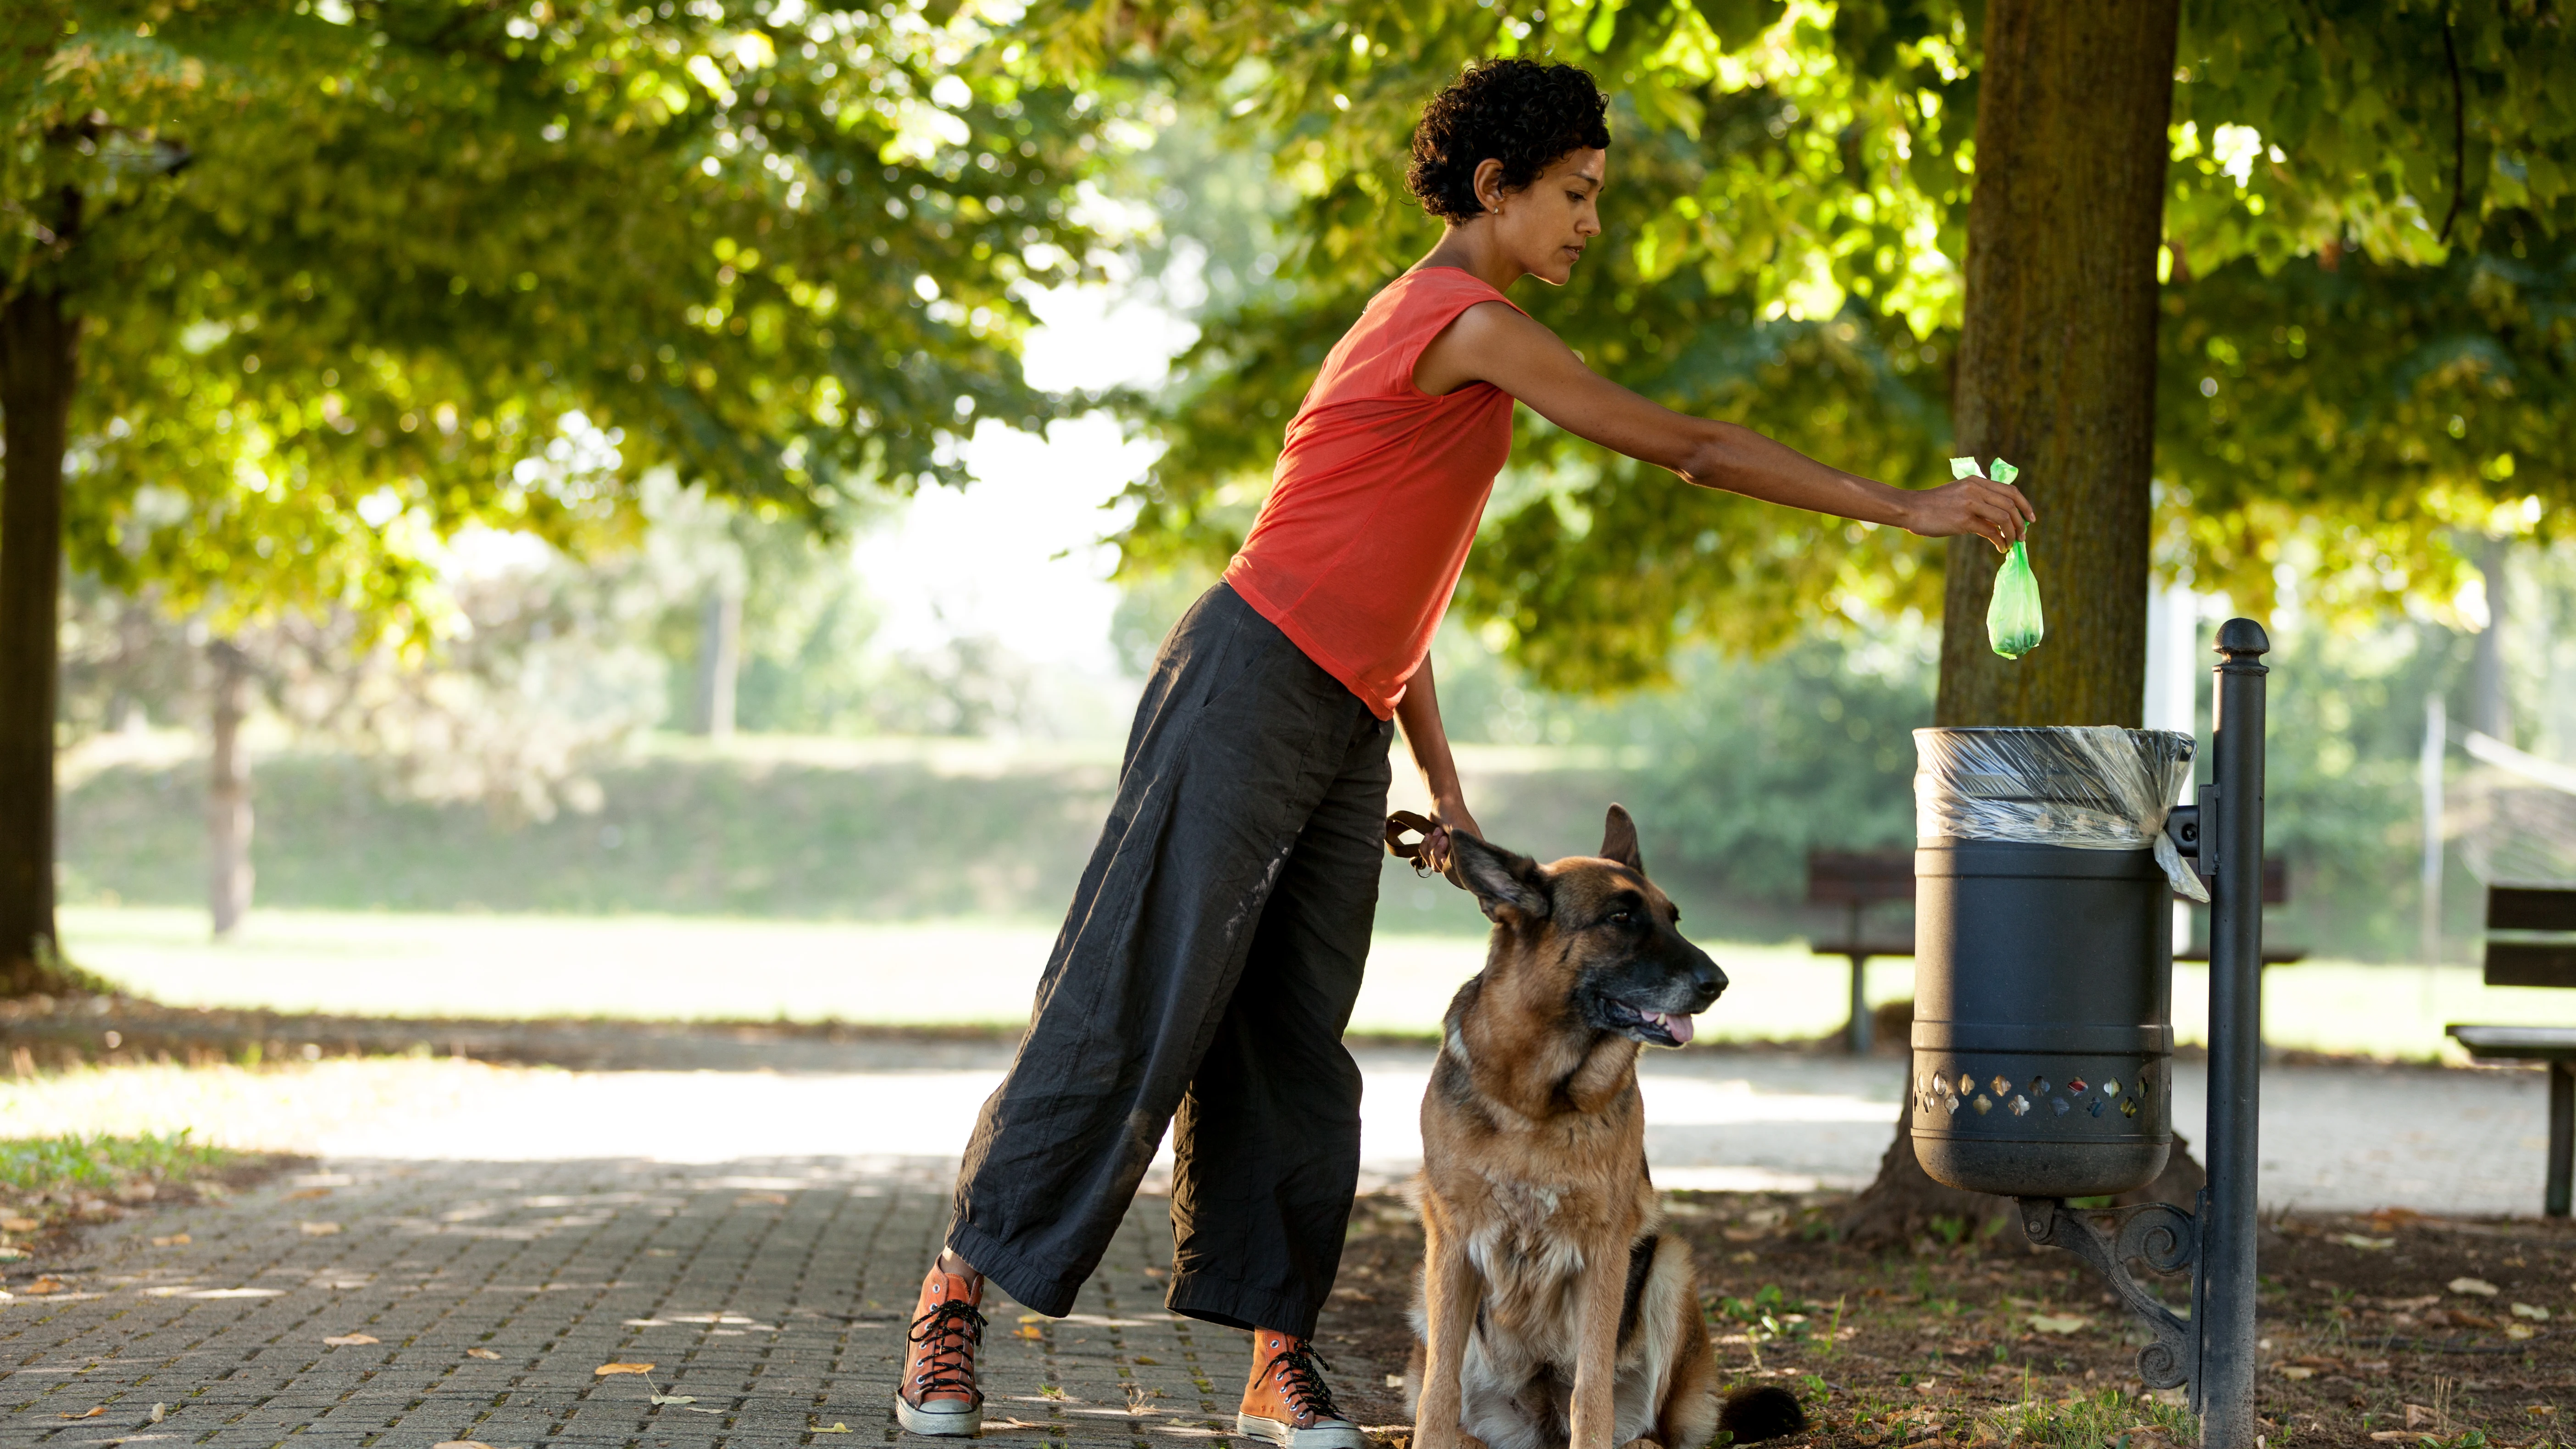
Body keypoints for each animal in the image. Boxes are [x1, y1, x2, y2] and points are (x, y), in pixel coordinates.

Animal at [1401, 804, 1803, 1443]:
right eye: (1620, 918)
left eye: (1672, 919)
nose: (1719, 983)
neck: (1538, 1101)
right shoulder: (1451, 1244)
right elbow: (1438, 1390)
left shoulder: (1605, 1253)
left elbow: (1591, 1392)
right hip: (1427, 1284)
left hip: (1669, 1268)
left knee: (1655, 1427)